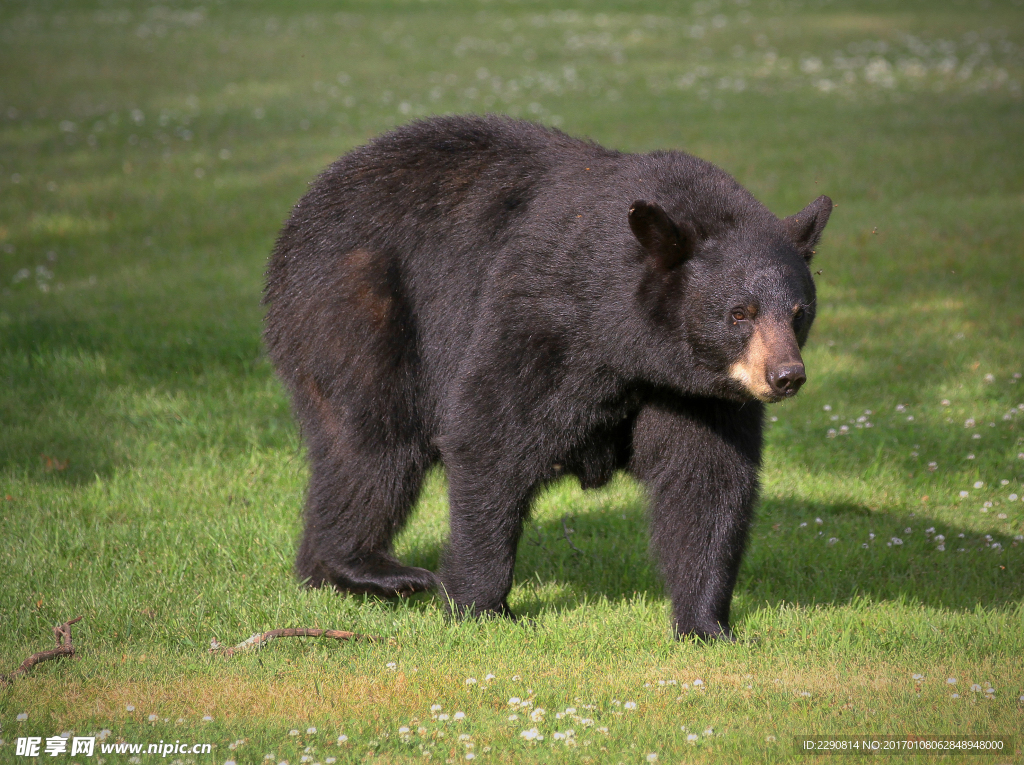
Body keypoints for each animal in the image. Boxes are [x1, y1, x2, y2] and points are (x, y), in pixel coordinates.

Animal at [263, 114, 831, 640]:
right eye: (739, 314)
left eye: (799, 312)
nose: (786, 375)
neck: (631, 345)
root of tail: (308, 202)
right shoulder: (544, 311)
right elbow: (492, 433)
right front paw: (480, 607)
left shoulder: (694, 392)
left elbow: (709, 480)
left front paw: (706, 625)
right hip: (359, 304)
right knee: (373, 445)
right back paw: (370, 569)